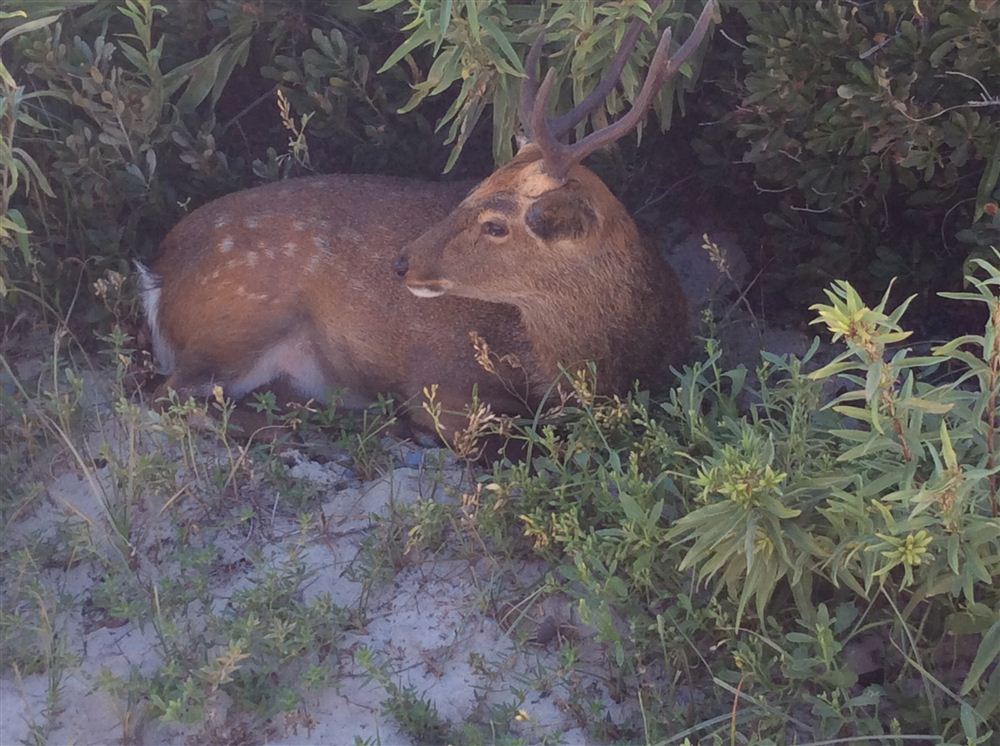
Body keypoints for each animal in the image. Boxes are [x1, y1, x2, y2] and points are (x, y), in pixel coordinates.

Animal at [139, 1, 720, 448]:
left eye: (496, 224)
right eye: (472, 189)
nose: (402, 262)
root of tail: (158, 273)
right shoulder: (441, 383)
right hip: (244, 314)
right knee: (167, 398)